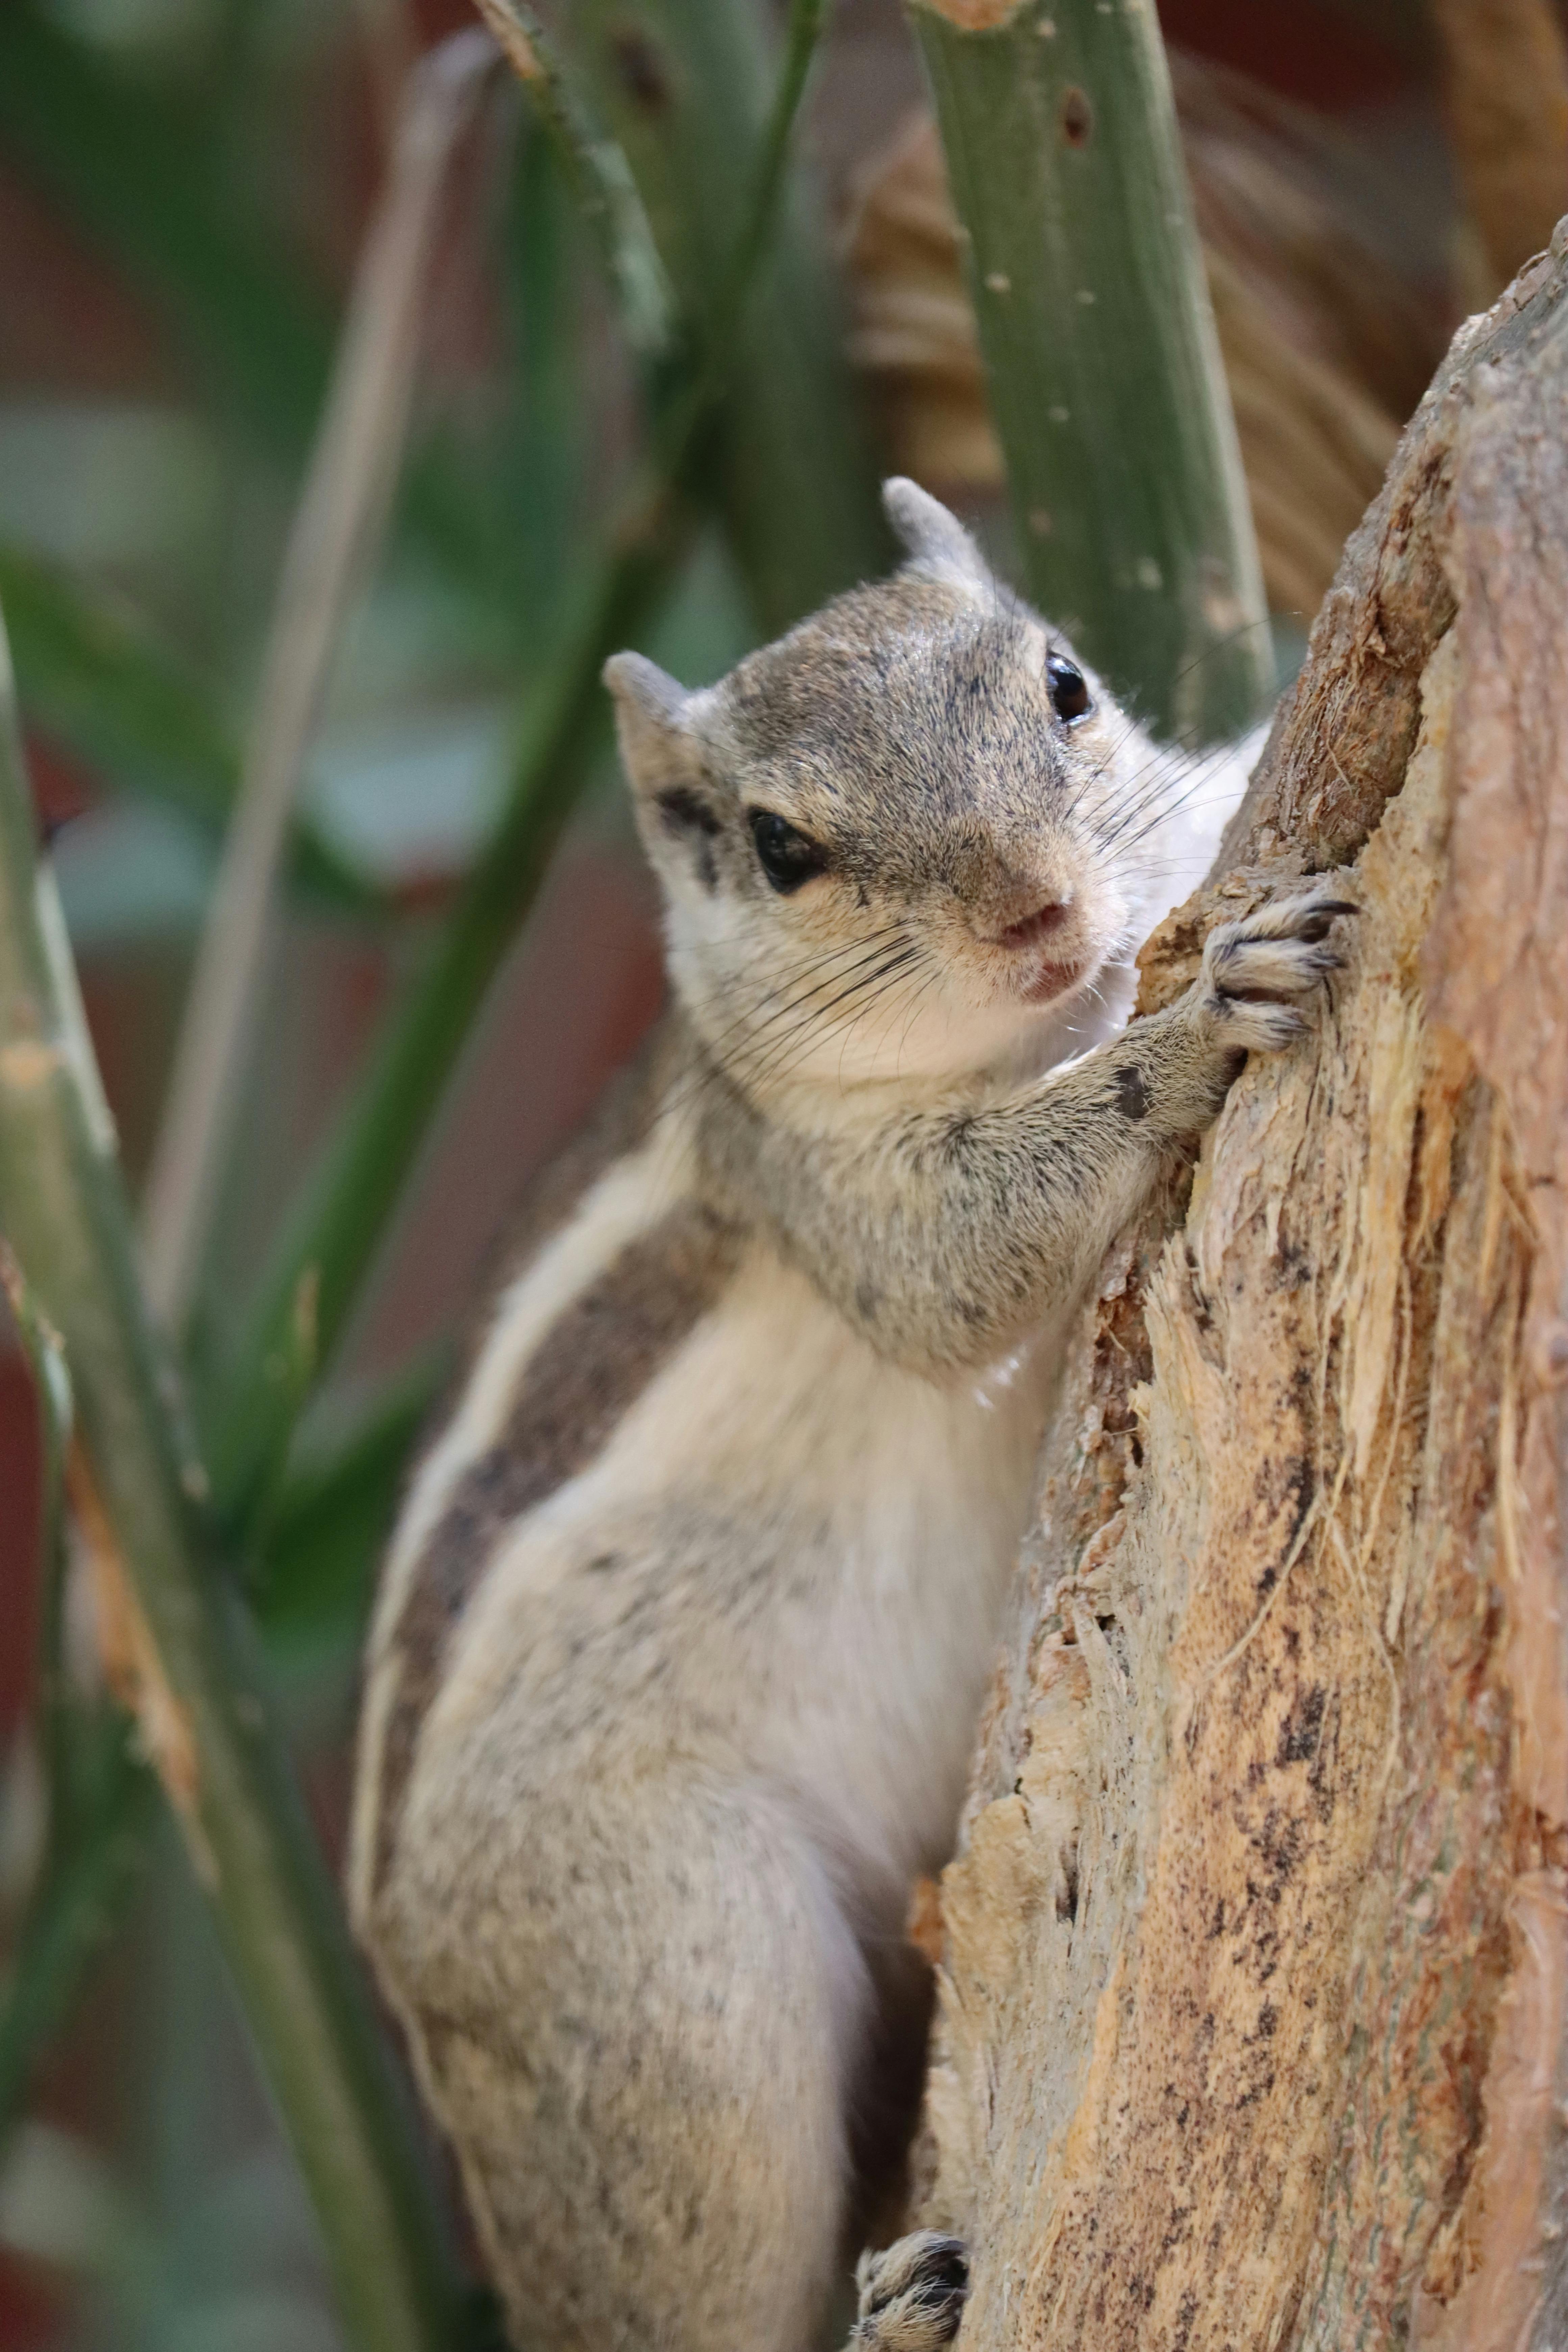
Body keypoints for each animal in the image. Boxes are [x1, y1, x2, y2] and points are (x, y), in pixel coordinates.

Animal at [350, 482, 1354, 2352]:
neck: (1044, 1017)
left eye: (1063, 682)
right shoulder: (813, 1180)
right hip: (670, 1989)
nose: (1034, 911)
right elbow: (955, 1262)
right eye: (779, 848)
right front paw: (1198, 1023)